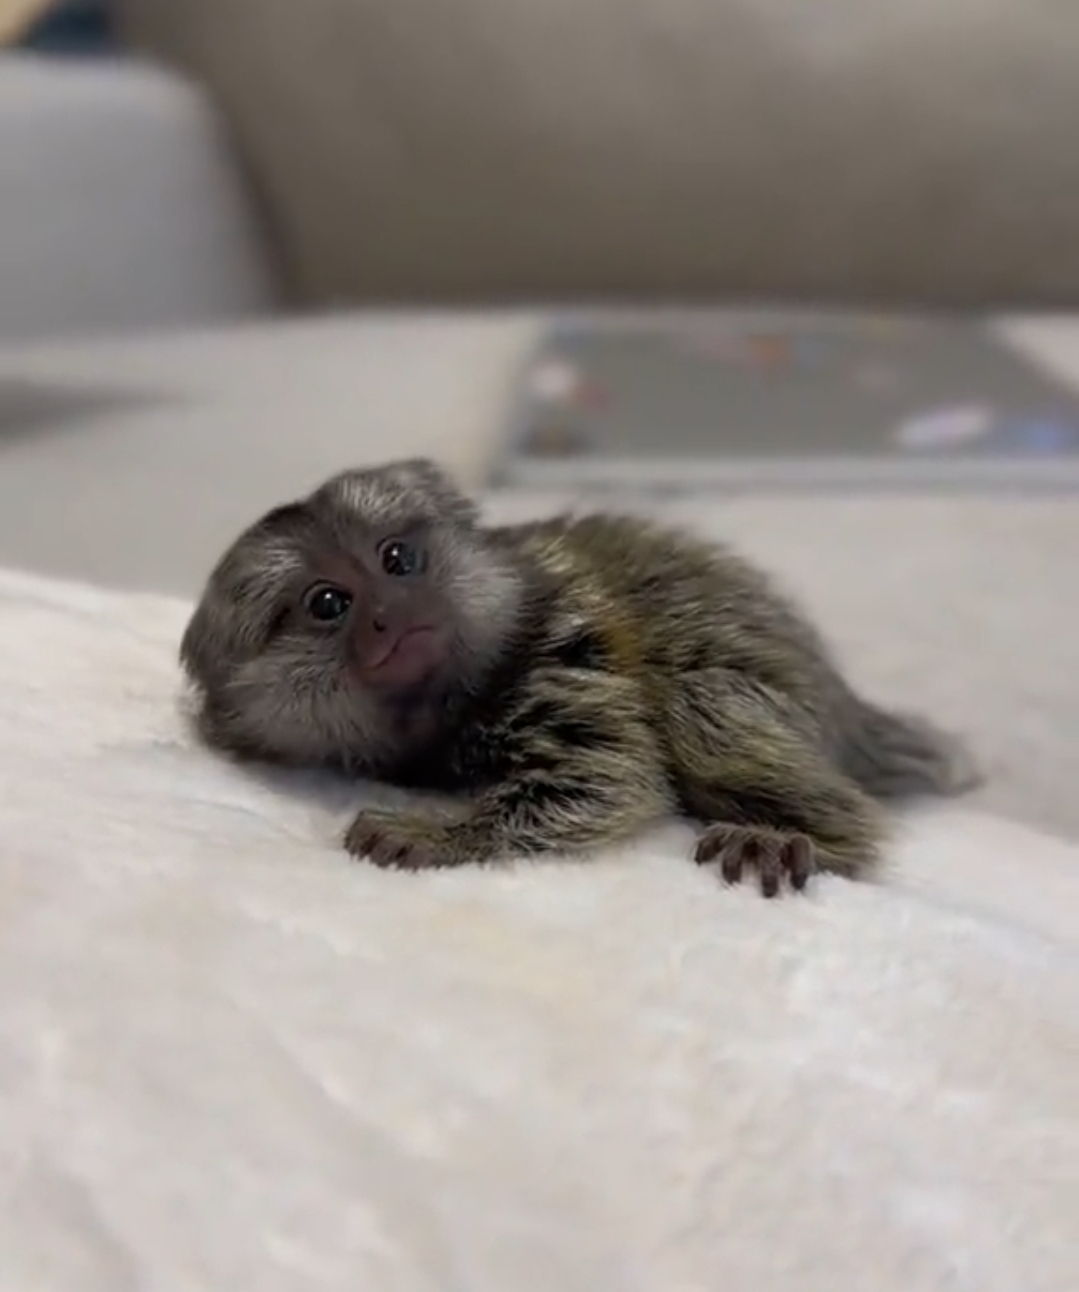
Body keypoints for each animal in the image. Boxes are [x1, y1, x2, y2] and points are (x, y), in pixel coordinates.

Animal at [179, 458, 979, 898]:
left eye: (397, 561)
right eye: (328, 605)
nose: (388, 613)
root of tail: (851, 715)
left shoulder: (557, 656)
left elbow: (602, 779)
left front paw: (435, 835)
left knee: (702, 700)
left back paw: (793, 839)